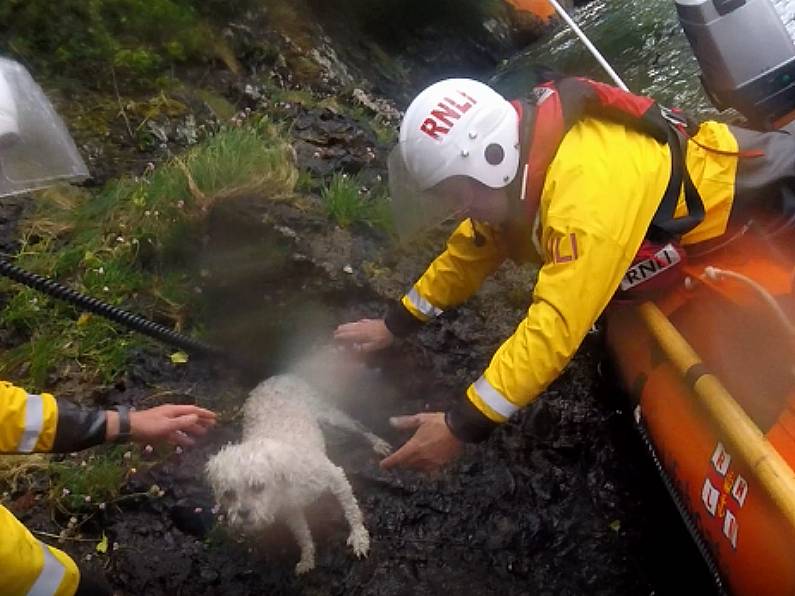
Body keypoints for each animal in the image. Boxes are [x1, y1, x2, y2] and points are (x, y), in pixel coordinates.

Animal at [207, 372, 390, 572]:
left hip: (330, 416)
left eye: (258, 486)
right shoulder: (291, 510)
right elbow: (303, 535)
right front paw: (307, 558)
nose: (243, 513)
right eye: (228, 494)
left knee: (359, 427)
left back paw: (378, 442)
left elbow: (351, 510)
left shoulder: (335, 476)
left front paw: (358, 537)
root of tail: (280, 376)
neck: (285, 482)